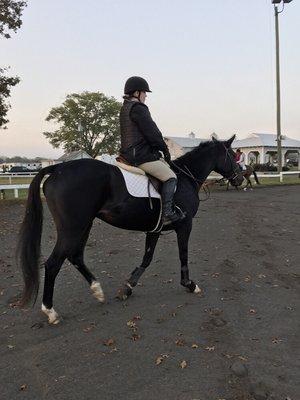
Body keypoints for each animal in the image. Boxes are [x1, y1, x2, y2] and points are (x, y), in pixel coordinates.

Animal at [18, 136, 244, 324]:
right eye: (233, 155)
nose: (240, 179)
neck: (184, 178)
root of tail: (57, 169)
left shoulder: (154, 229)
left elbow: (147, 258)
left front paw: (127, 287)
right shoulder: (184, 225)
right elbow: (183, 255)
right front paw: (189, 284)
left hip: (84, 226)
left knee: (75, 256)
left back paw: (97, 291)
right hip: (73, 228)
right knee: (53, 263)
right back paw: (51, 312)